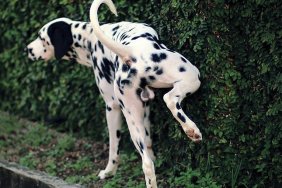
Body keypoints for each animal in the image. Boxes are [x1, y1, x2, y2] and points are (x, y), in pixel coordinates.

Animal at [89, 0, 202, 188]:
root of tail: (130, 53)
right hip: (191, 75)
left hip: (133, 121)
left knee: (147, 163)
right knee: (170, 99)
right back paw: (191, 130)